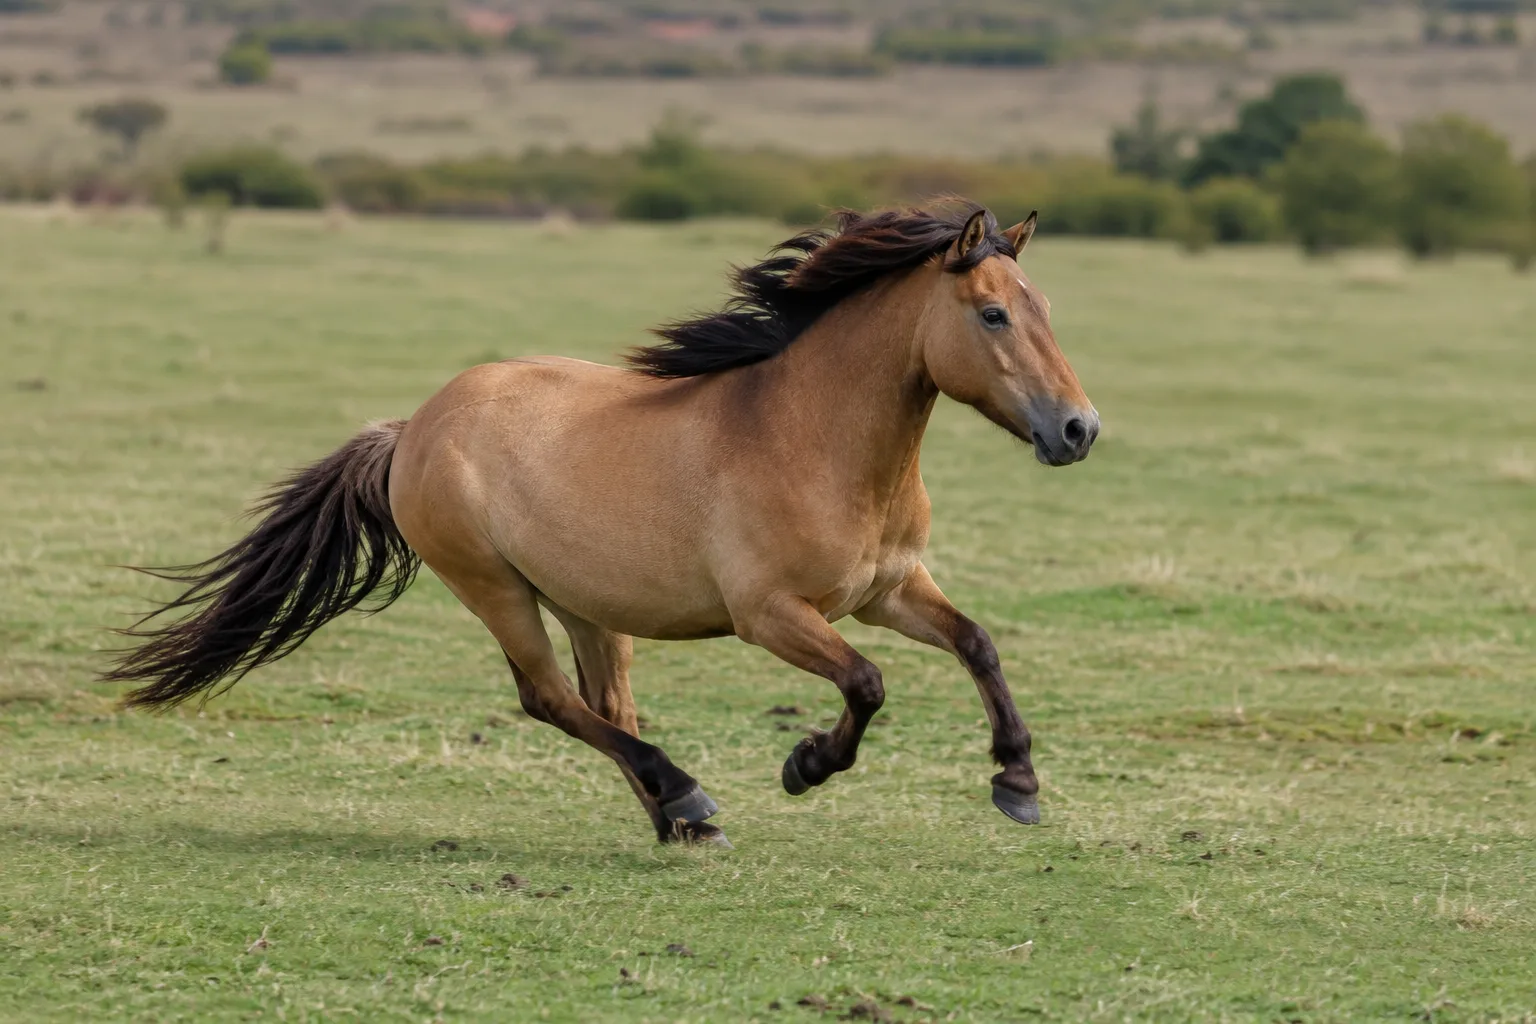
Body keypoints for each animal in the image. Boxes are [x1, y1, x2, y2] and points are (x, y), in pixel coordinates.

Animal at [105, 203, 1099, 848]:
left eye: (1049, 310)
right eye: (993, 313)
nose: (1078, 430)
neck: (810, 437)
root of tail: (413, 428)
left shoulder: (889, 590)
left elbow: (977, 646)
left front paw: (1017, 782)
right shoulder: (772, 615)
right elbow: (867, 684)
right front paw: (806, 766)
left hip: (585, 601)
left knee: (603, 704)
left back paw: (679, 820)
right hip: (496, 590)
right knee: (550, 700)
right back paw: (686, 797)